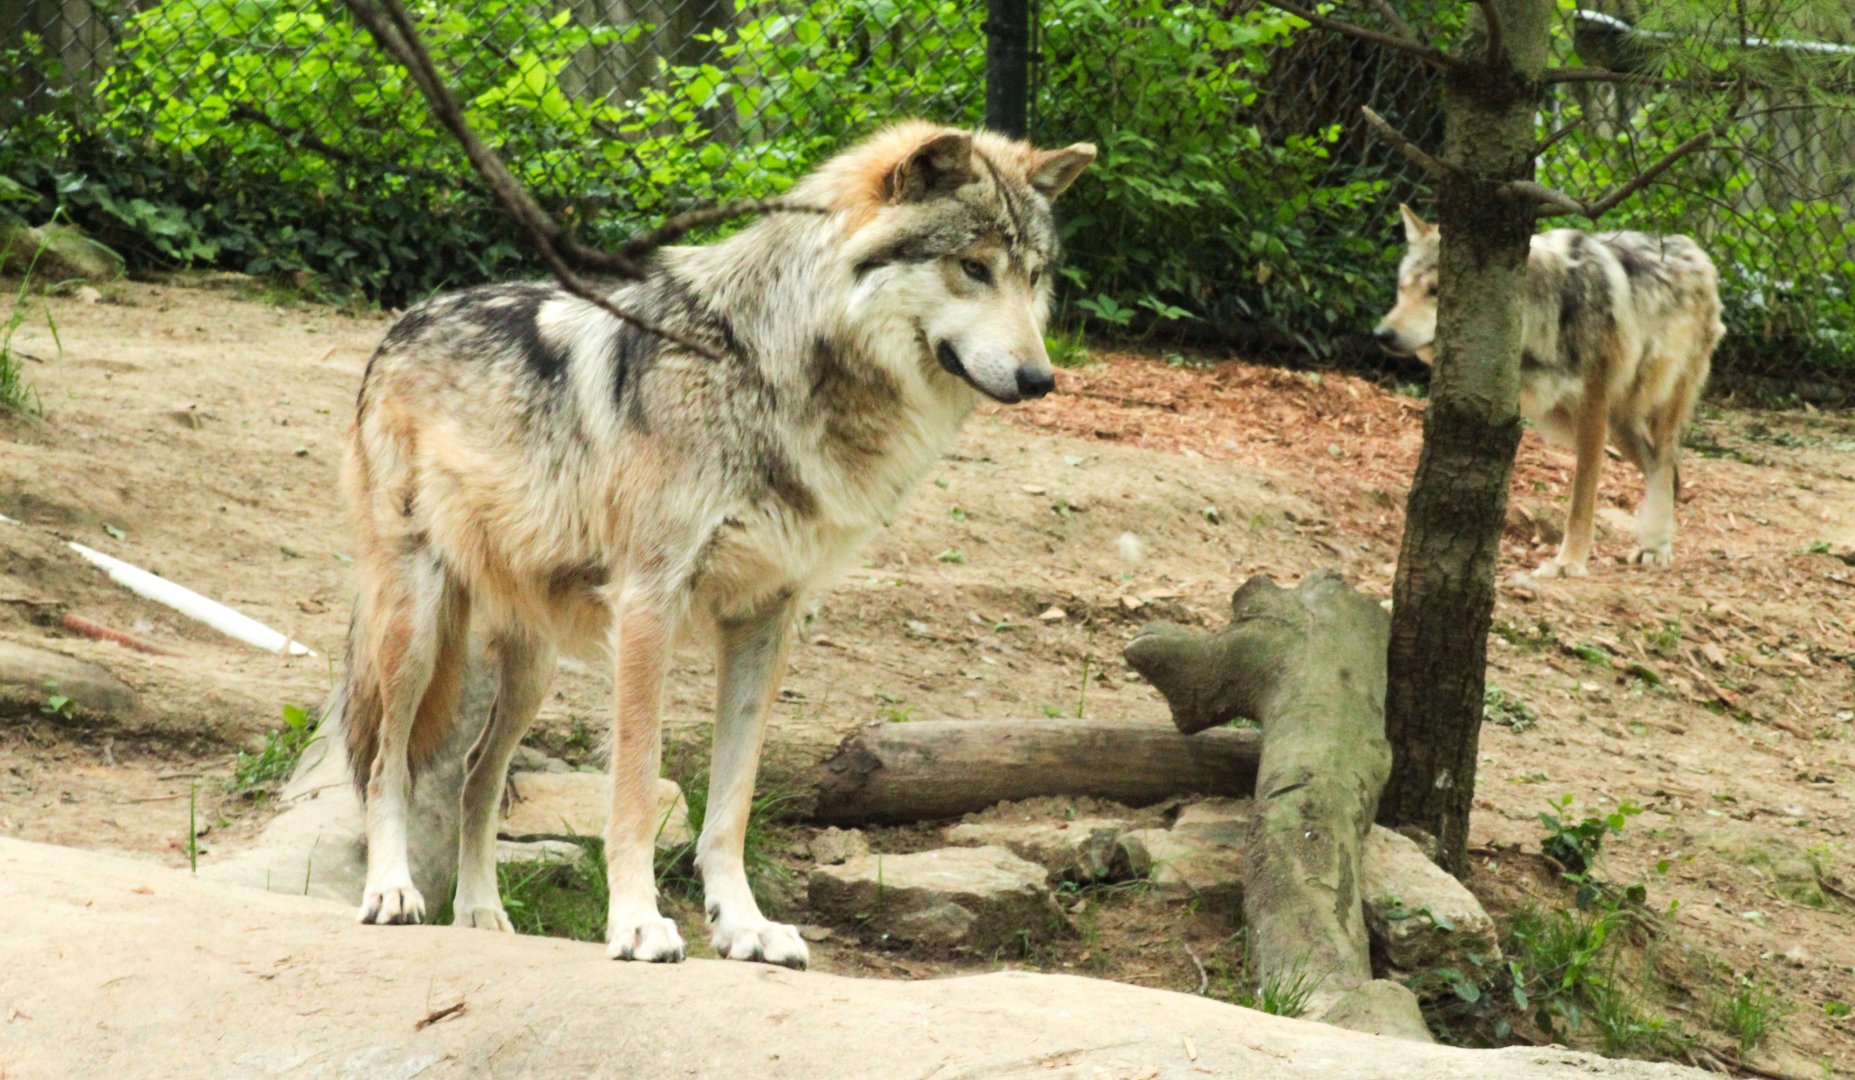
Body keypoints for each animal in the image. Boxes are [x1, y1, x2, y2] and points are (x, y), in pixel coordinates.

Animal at [334, 121, 1094, 968]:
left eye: (1033, 277)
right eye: (972, 267)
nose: (1040, 379)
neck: (779, 373)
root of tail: (407, 319)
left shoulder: (767, 616)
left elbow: (731, 803)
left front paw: (744, 927)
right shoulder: (648, 601)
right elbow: (635, 785)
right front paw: (637, 922)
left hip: (532, 668)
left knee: (474, 777)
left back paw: (480, 916)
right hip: (415, 630)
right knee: (387, 764)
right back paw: (392, 892)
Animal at [1375, 204, 1722, 578]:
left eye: (1437, 291)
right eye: (1402, 289)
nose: (1382, 334)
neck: (1547, 313)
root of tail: (1695, 249)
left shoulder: (1591, 413)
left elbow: (1581, 501)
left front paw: (1569, 562)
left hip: (1656, 407)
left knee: (1666, 462)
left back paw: (1656, 547)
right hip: (1620, 428)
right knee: (1665, 470)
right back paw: (1652, 542)